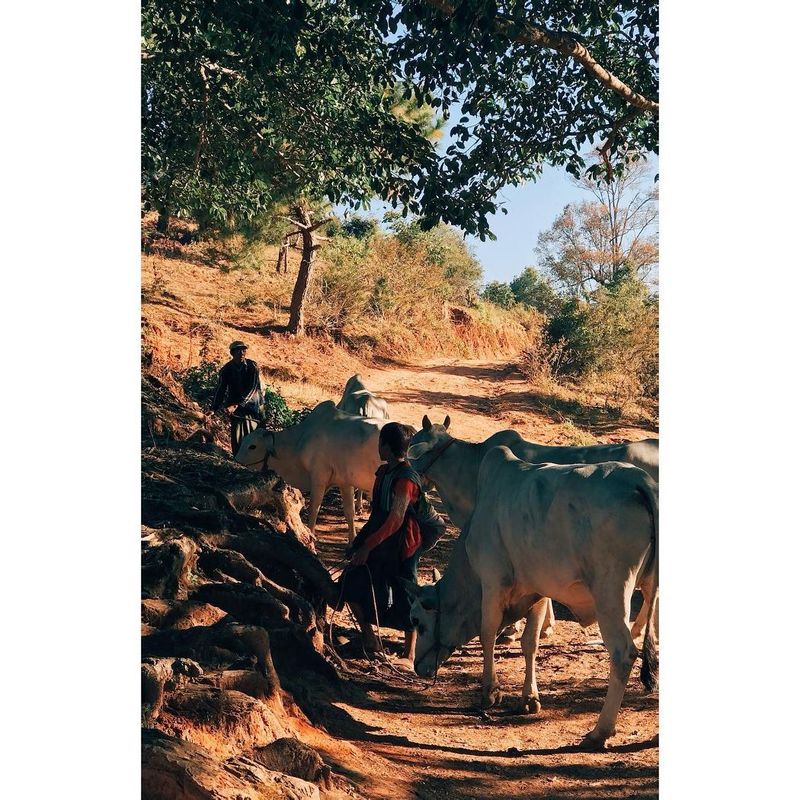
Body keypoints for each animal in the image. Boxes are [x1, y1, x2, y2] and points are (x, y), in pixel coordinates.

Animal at [234, 400, 388, 544]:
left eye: (252, 446)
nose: (236, 461)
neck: (301, 440)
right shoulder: (345, 482)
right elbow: (350, 512)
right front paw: (351, 542)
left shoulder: (318, 477)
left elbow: (314, 508)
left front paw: (311, 535)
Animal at [410, 444, 660, 752]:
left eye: (417, 621)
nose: (418, 667)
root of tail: (640, 482)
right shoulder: (538, 592)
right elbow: (530, 643)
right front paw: (529, 698)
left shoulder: (492, 581)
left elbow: (487, 633)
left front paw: (490, 691)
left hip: (611, 594)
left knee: (623, 654)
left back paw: (599, 732)